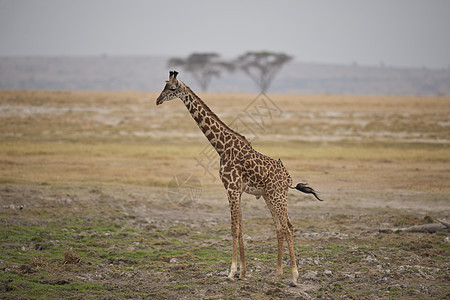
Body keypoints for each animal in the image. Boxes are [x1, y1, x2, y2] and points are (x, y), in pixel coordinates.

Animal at [156, 71, 322, 288]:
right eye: (164, 85)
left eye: (173, 88)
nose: (158, 100)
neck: (221, 146)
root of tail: (288, 178)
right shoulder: (238, 191)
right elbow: (241, 227)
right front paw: (243, 273)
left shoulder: (231, 188)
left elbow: (234, 228)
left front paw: (231, 272)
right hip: (269, 196)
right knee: (279, 228)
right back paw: (277, 275)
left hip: (278, 196)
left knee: (288, 227)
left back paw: (294, 277)